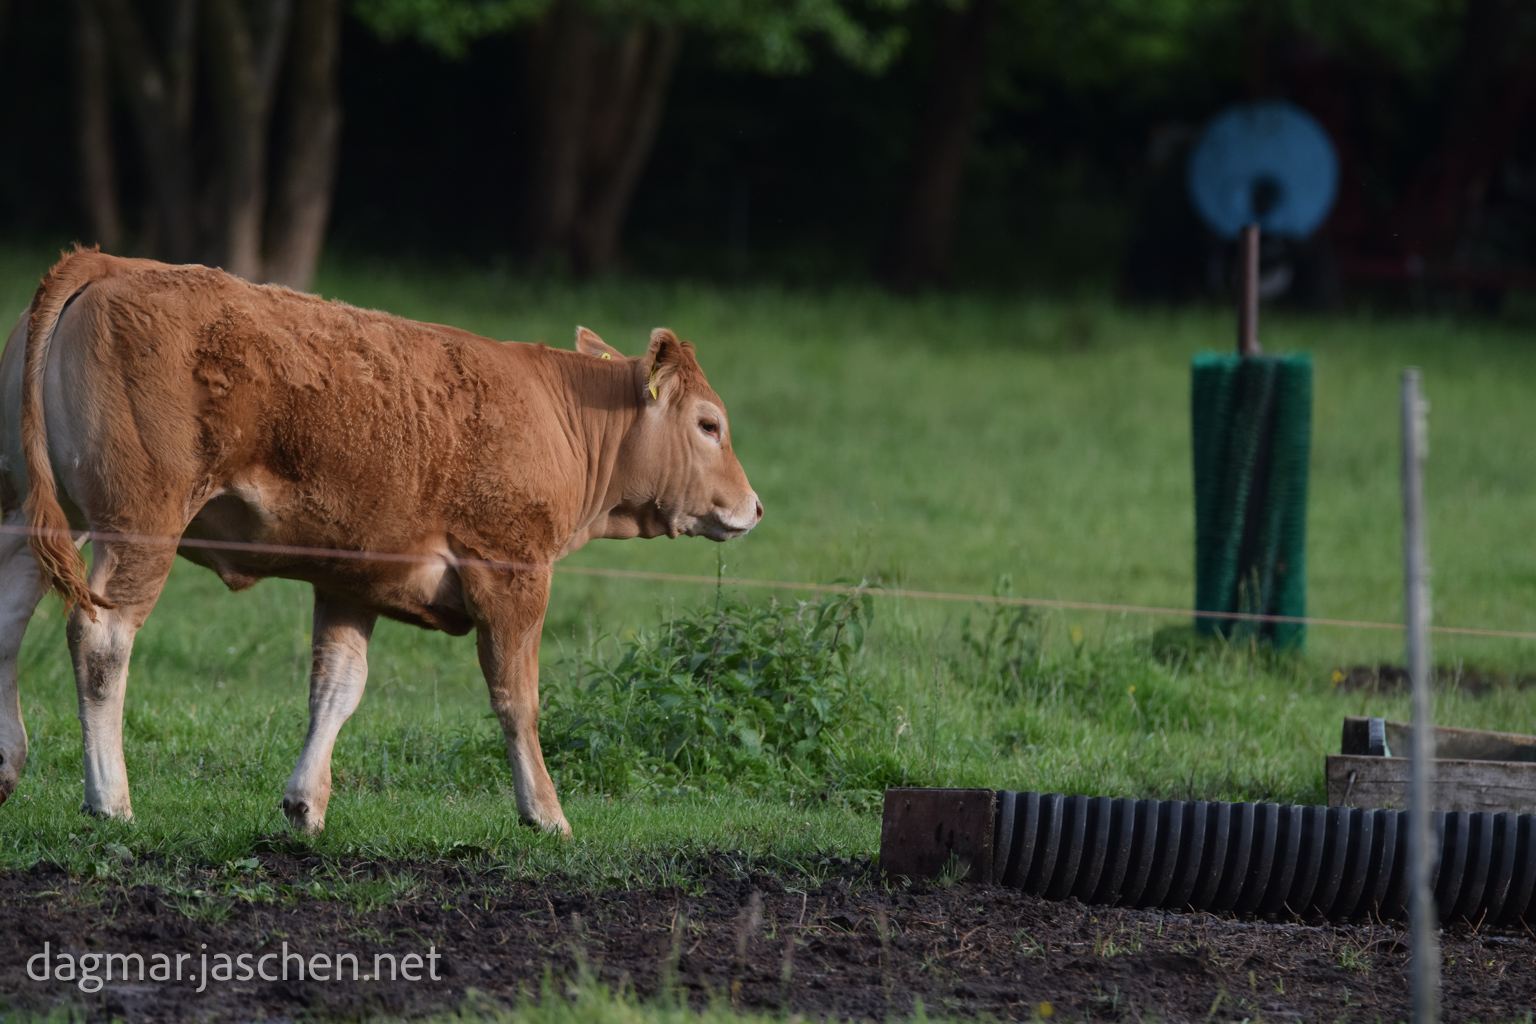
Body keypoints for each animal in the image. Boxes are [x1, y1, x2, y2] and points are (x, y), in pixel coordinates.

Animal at [0, 248, 761, 836]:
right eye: (710, 424)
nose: (753, 507)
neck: (558, 415)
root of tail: (108, 263)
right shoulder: (513, 570)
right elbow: (518, 699)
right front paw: (545, 813)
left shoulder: (351, 577)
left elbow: (337, 688)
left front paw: (306, 804)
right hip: (141, 520)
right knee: (101, 638)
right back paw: (111, 801)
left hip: (34, 514)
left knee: (9, 618)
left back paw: (8, 763)